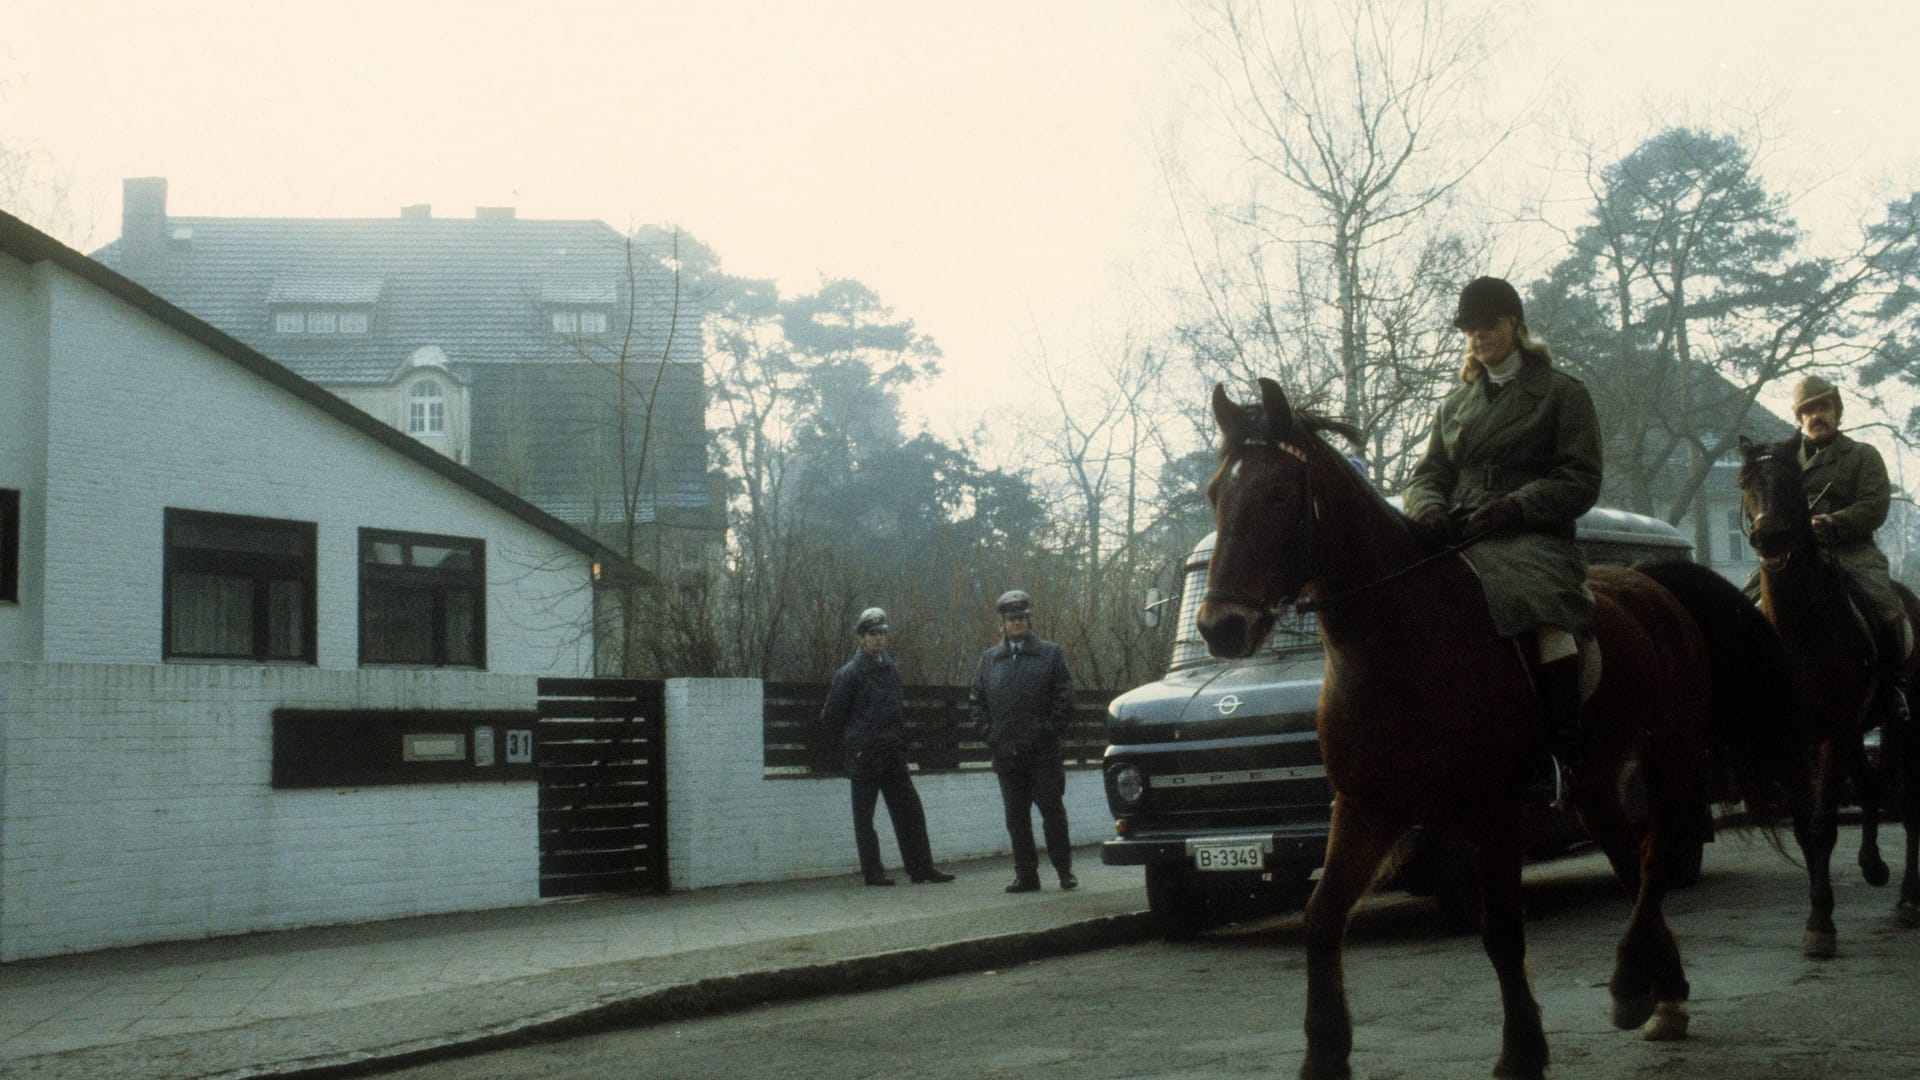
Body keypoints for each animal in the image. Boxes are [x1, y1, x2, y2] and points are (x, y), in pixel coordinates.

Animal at [1198, 380, 1797, 1076]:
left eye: (1276, 493)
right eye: (1215, 494)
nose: (1220, 628)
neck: (1401, 644)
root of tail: (1652, 583)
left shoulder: (1495, 813)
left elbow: (1502, 930)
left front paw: (1522, 1050)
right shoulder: (1365, 808)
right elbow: (1321, 919)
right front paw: (1323, 1056)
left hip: (1669, 756)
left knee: (1655, 861)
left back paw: (1631, 984)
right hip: (1594, 783)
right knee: (1631, 862)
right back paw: (1661, 993)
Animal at [1743, 432, 1920, 945]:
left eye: (1791, 483)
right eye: (1745, 482)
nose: (1768, 538)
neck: (1797, 631)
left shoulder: (1832, 733)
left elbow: (1823, 823)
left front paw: (1821, 922)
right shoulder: (1795, 738)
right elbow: (1806, 824)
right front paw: (1819, 914)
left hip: (1900, 728)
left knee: (1909, 802)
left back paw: (1908, 897)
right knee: (1873, 785)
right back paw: (1873, 866)